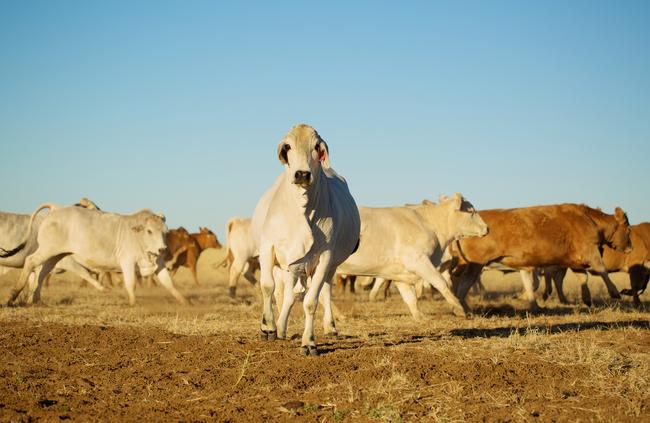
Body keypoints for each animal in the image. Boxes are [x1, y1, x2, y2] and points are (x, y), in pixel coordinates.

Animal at [1, 204, 186, 306]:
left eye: (165, 231)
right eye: (149, 231)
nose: (162, 249)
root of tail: (55, 210)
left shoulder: (158, 264)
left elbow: (169, 284)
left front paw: (184, 301)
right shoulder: (127, 262)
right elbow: (131, 283)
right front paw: (133, 303)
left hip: (55, 255)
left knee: (42, 272)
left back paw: (35, 300)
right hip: (47, 250)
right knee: (31, 262)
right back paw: (13, 296)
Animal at [251, 124, 360, 356]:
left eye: (317, 147)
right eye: (288, 146)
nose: (302, 174)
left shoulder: (325, 257)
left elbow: (311, 302)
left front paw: (309, 342)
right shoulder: (268, 248)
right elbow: (268, 287)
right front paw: (268, 327)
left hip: (329, 266)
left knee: (323, 291)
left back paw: (330, 327)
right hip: (290, 266)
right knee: (287, 295)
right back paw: (280, 328)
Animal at [334, 197, 486, 320]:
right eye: (471, 212)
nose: (487, 228)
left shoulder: (400, 273)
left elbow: (410, 297)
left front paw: (419, 316)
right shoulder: (418, 261)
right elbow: (441, 283)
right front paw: (459, 309)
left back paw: (338, 316)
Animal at [450, 204, 628, 314]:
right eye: (628, 228)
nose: (630, 247)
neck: (588, 219)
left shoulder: (573, 262)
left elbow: (582, 278)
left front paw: (587, 298)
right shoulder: (589, 251)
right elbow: (602, 270)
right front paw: (614, 292)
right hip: (475, 265)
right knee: (464, 285)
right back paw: (463, 309)